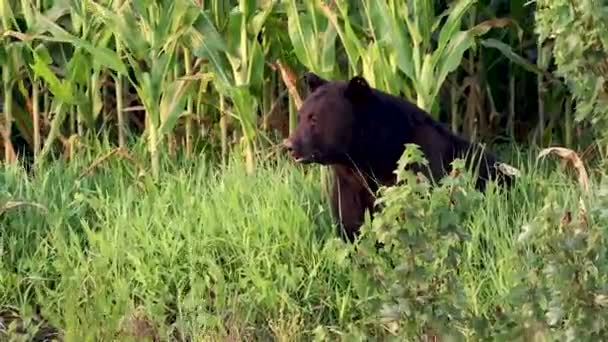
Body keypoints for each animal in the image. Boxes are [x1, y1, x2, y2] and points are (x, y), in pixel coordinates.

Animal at [284, 73, 512, 243]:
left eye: (314, 119)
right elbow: (349, 220)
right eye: (300, 116)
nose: (289, 145)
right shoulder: (347, 182)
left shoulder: (418, 165)